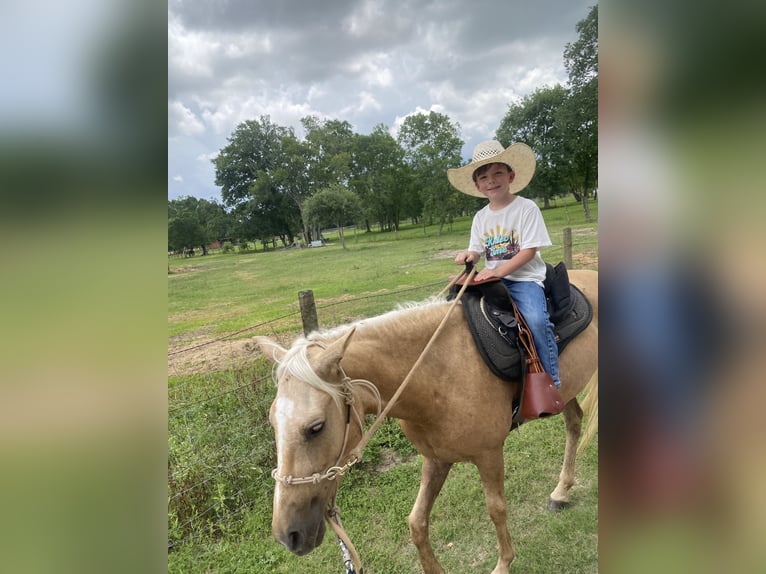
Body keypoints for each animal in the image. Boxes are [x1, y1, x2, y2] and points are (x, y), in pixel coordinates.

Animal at [254, 269, 598, 574]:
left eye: (316, 427)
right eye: (273, 423)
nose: (288, 535)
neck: (439, 371)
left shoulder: (489, 454)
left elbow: (496, 509)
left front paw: (503, 563)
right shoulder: (436, 458)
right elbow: (416, 523)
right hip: (563, 392)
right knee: (574, 422)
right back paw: (561, 492)